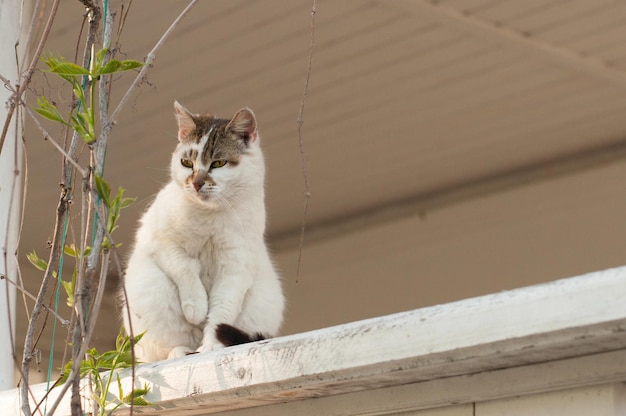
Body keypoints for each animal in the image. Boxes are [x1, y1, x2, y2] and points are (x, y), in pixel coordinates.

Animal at [120, 101, 286, 360]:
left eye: (218, 163)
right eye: (187, 163)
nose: (196, 183)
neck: (211, 215)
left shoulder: (235, 266)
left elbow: (220, 310)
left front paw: (210, 345)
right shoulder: (161, 242)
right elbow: (185, 270)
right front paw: (196, 309)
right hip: (151, 292)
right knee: (165, 348)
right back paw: (181, 351)